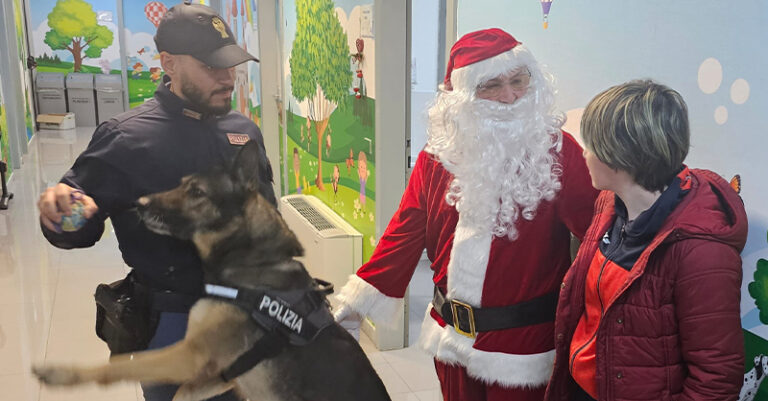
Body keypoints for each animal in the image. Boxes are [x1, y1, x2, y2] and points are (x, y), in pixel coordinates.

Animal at [33, 141, 390, 400]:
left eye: (197, 192)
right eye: (181, 185)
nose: (140, 203)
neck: (250, 263)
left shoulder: (189, 355)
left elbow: (120, 366)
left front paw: (63, 374)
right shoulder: (218, 373)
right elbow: (179, 393)